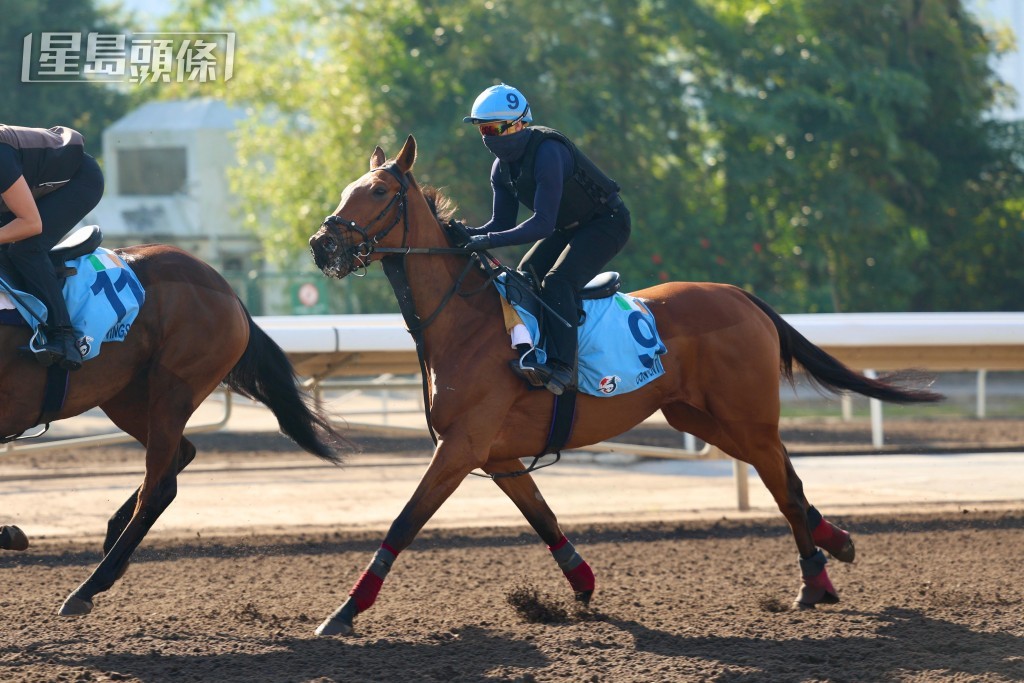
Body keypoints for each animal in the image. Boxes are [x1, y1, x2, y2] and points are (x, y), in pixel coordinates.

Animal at [0, 244, 348, 614]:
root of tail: (228, 290)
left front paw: (10, 533)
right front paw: (11, 533)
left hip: (173, 388)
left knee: (160, 486)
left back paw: (90, 585)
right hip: (124, 395)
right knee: (180, 454)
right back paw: (112, 544)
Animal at [305, 136, 942, 638]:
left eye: (377, 193)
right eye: (346, 189)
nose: (322, 243)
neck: (465, 320)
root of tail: (742, 295)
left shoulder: (461, 447)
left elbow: (404, 521)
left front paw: (343, 613)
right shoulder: (496, 452)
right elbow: (543, 517)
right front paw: (583, 588)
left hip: (745, 417)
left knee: (783, 485)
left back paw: (814, 582)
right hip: (702, 417)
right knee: (788, 477)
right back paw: (835, 548)